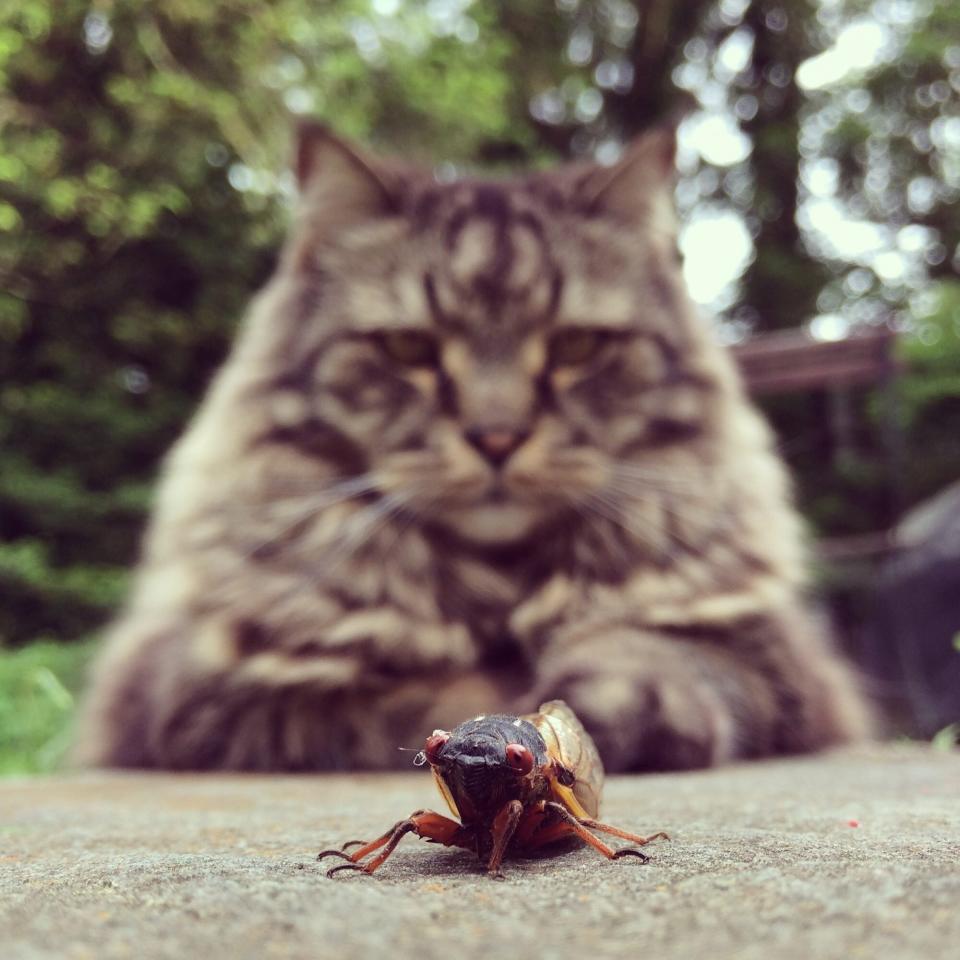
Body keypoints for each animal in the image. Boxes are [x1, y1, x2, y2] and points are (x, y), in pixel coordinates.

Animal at [75, 122, 872, 772]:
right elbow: (411, 694)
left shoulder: (773, 653)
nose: (498, 436)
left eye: (577, 347)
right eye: (408, 348)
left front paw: (606, 707)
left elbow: (662, 651)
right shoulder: (200, 683)